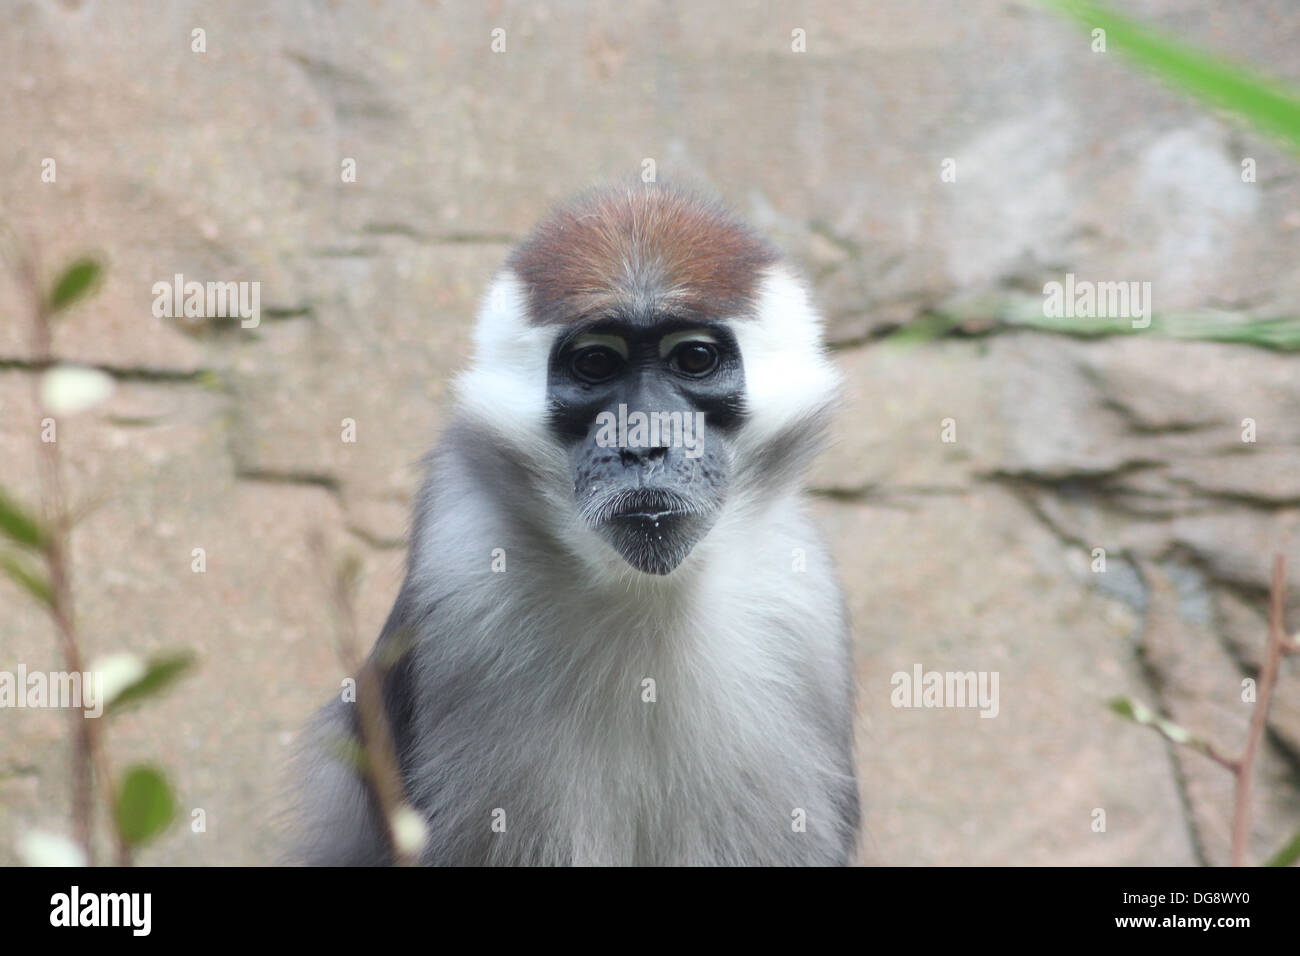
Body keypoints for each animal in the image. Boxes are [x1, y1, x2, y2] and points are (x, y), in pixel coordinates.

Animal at [295, 180, 863, 868]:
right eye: (596, 364)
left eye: (695, 359)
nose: (644, 442)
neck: (646, 595)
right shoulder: (460, 579)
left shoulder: (803, 609)